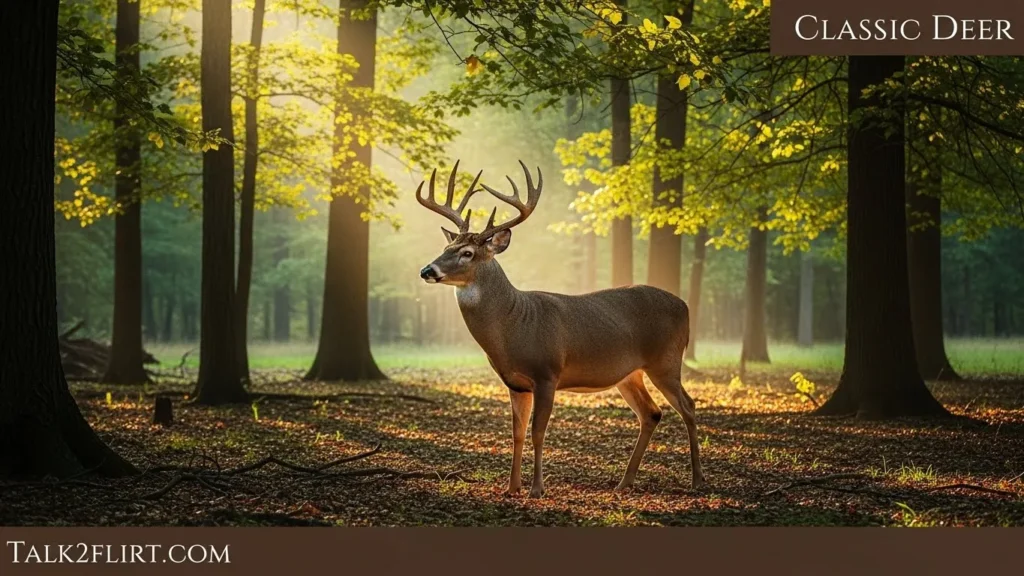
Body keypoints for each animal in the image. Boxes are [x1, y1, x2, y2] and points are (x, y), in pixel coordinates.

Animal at [416, 160, 705, 497]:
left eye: (467, 253)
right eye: (447, 245)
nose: (427, 270)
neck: (513, 325)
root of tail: (685, 306)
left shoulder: (547, 373)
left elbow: (538, 431)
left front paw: (536, 489)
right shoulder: (515, 383)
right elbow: (516, 433)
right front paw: (511, 488)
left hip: (666, 360)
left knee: (688, 406)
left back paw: (697, 480)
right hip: (629, 373)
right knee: (652, 412)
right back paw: (624, 482)